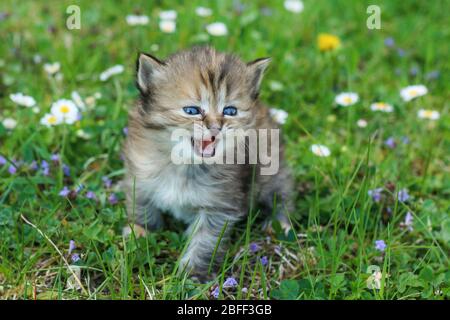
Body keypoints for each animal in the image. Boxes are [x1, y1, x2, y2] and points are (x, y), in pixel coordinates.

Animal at [123, 46, 294, 278]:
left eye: (230, 111)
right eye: (192, 111)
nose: (216, 127)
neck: (184, 164)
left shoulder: (219, 205)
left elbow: (206, 240)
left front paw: (191, 273)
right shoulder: (140, 176)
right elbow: (142, 207)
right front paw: (139, 234)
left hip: (270, 170)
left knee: (282, 191)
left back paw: (280, 223)